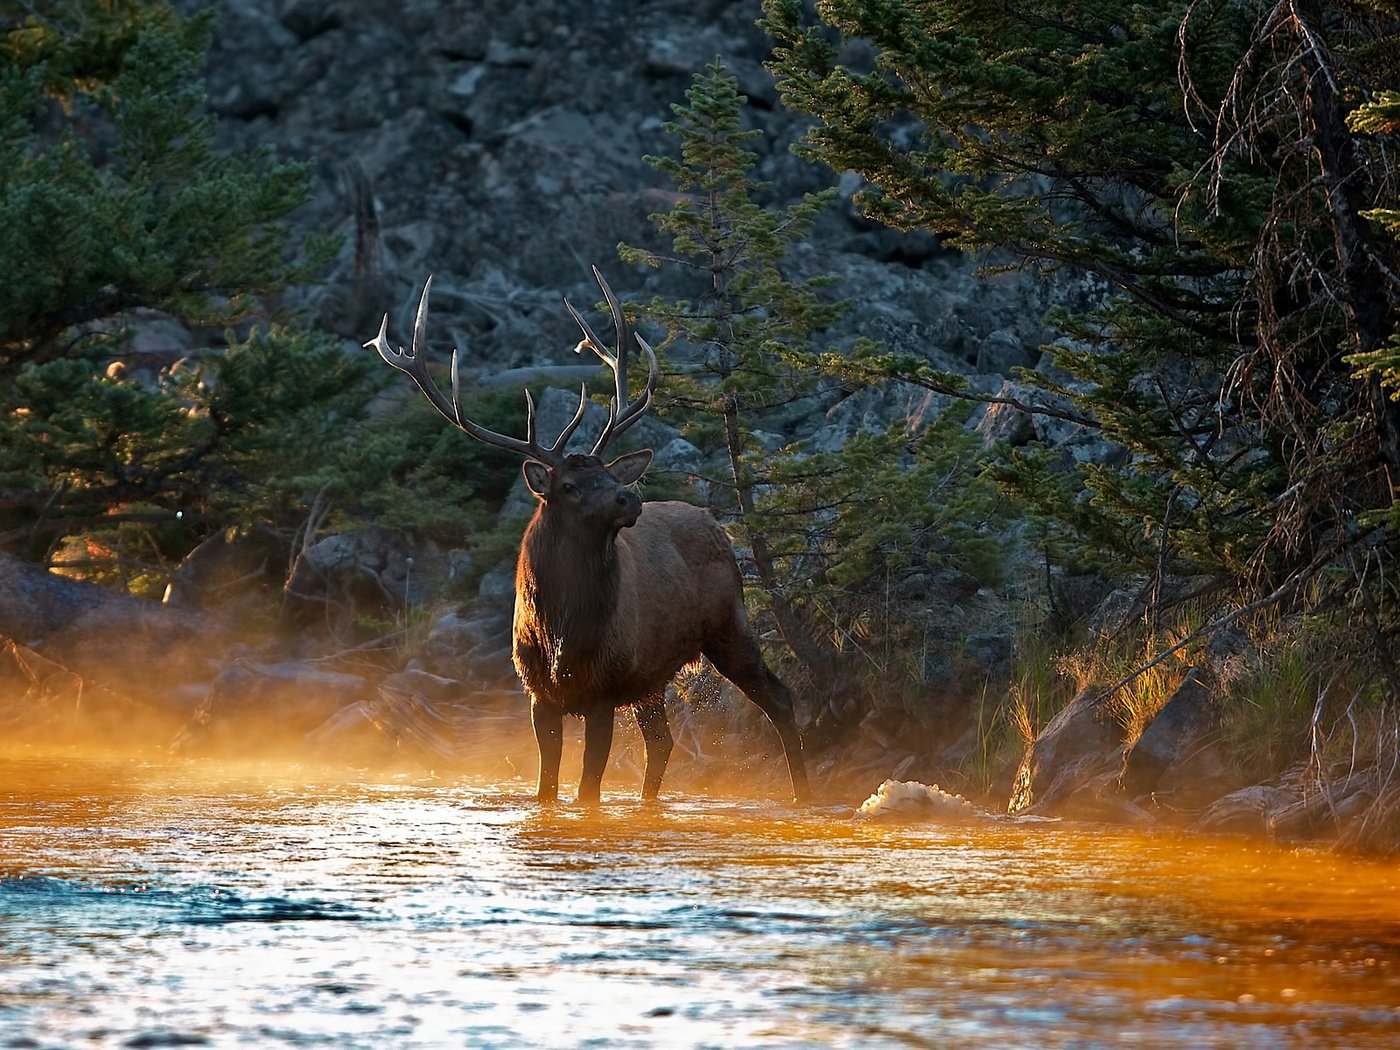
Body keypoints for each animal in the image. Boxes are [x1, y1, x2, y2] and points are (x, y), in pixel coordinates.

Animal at [366, 267, 812, 800]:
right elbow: (547, 788)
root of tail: (717, 526)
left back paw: (806, 794)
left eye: (608, 474)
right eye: (570, 485)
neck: (561, 633)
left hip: (729, 624)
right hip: (651, 676)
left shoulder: (604, 690)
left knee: (780, 698)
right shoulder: (539, 694)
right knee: (662, 743)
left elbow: (588, 790)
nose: (629, 498)